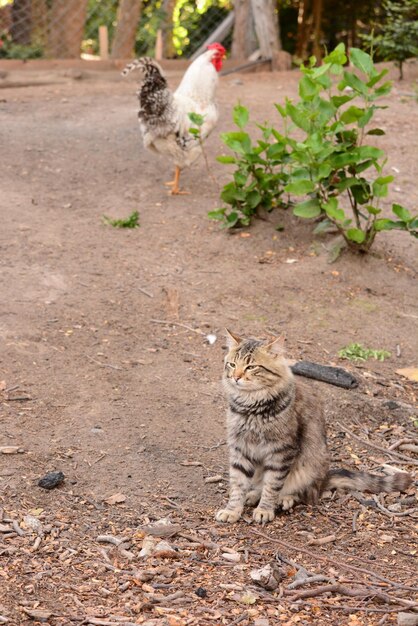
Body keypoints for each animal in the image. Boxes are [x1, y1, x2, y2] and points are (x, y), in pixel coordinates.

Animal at [217, 330, 414, 524]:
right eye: (232, 365)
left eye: (251, 367)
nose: (235, 377)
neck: (250, 406)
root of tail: (324, 477)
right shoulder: (240, 447)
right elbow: (238, 484)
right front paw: (232, 510)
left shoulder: (281, 451)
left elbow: (272, 485)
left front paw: (265, 509)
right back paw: (252, 495)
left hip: (308, 468)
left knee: (304, 494)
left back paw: (283, 499)